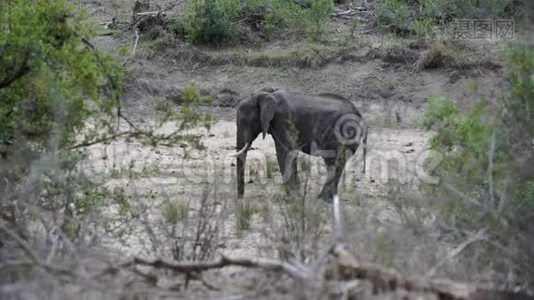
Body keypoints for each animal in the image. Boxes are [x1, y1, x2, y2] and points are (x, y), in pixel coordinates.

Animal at [230, 89, 368, 202]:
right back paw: (328, 199)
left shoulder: (283, 121)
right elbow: (291, 153)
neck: (268, 95)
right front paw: (296, 195)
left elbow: (284, 153)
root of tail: (359, 115)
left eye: (243, 121)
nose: (240, 199)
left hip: (342, 133)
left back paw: (322, 199)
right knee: (336, 164)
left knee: (333, 162)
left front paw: (289, 199)